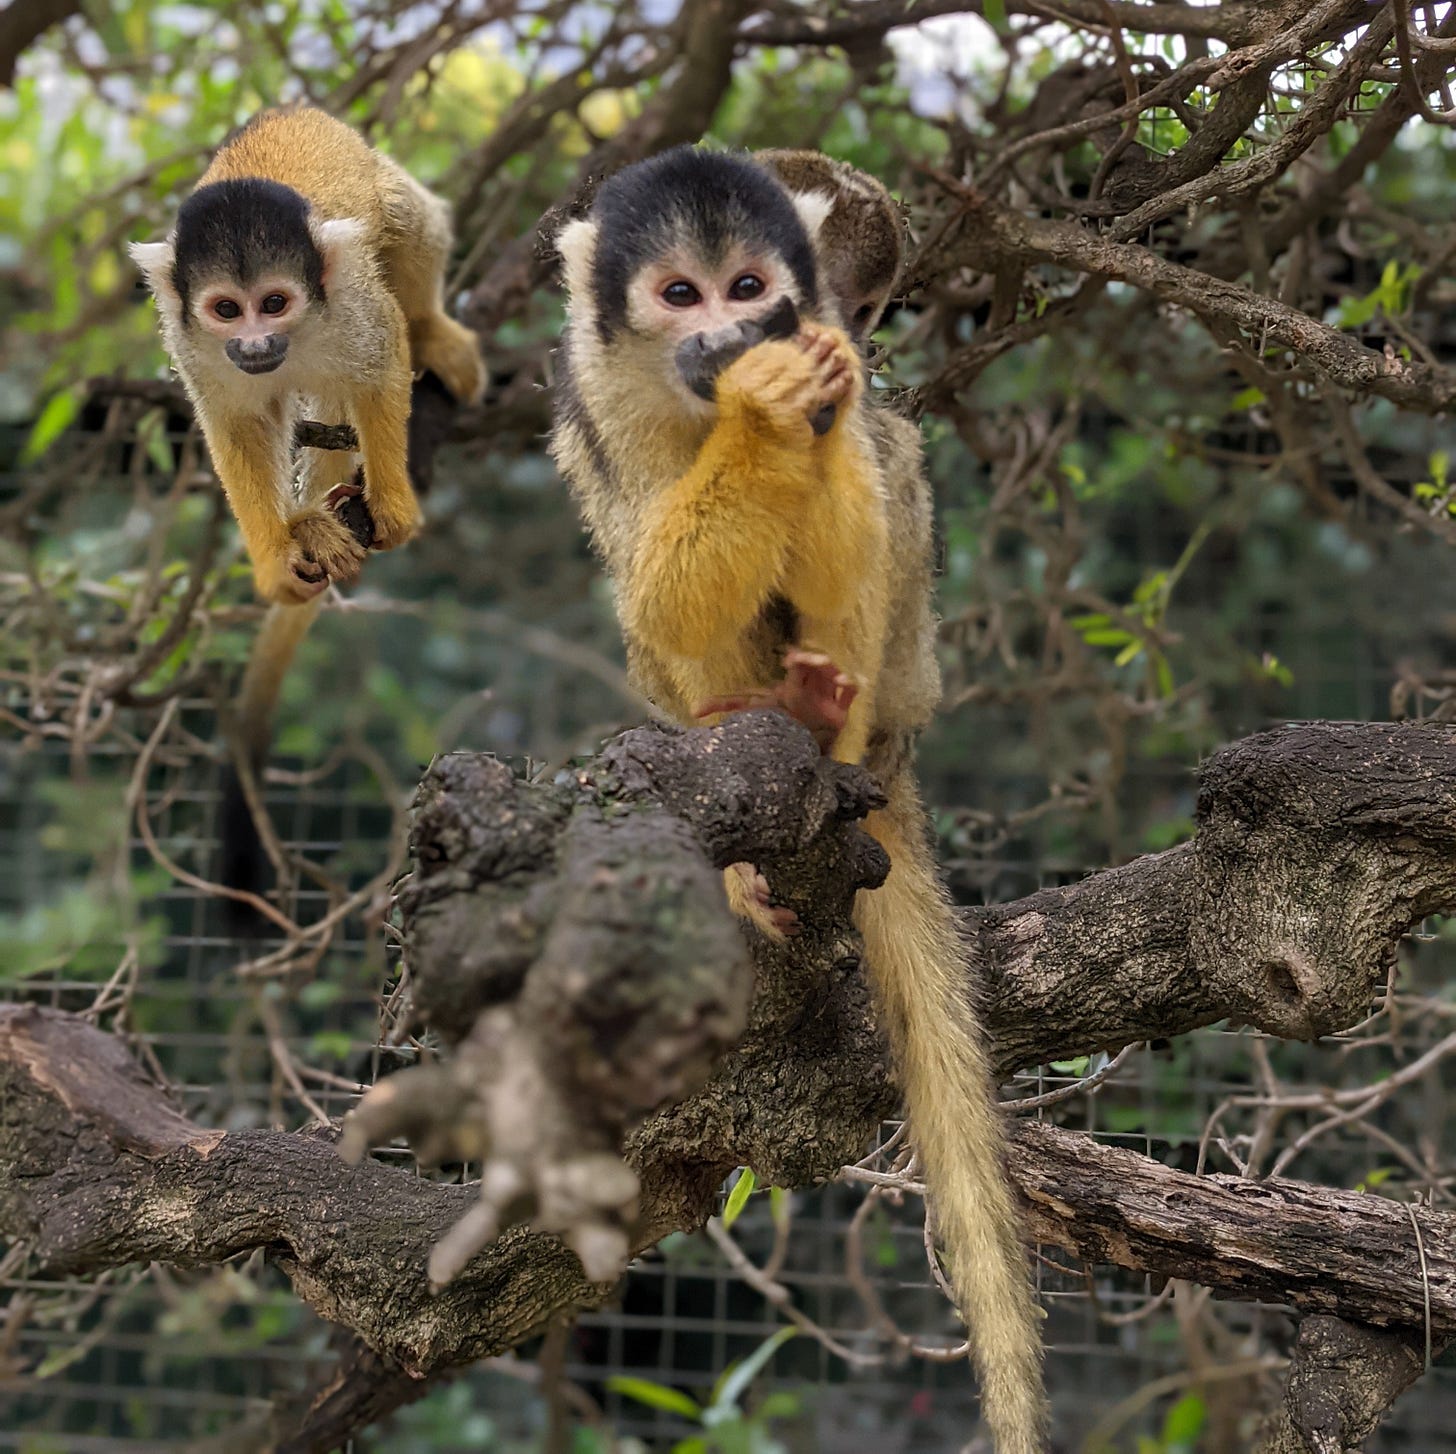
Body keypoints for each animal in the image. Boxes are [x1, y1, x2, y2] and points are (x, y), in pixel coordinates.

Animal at [130, 106, 484, 606]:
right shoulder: (191, 344)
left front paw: (392, 502)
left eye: (274, 303)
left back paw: (429, 326)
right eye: (227, 310)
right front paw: (276, 556)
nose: (255, 345)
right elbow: (240, 423)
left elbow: (382, 366)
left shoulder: (353, 302)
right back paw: (310, 523)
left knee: (405, 212)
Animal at [548, 147, 1047, 1454]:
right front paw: (765, 412)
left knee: (890, 487)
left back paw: (829, 724)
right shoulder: (600, 395)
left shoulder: (845, 353)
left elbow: (858, 467)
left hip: (914, 664)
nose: (729, 336)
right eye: (680, 294)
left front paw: (791, 408)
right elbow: (662, 591)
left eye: (748, 287)